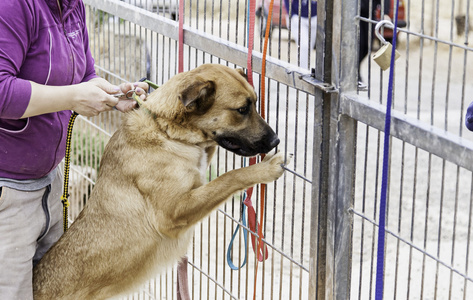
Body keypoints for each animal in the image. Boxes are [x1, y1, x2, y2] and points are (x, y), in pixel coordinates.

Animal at [32, 63, 288, 300]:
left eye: (255, 104)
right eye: (242, 109)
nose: (276, 140)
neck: (164, 128)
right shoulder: (174, 212)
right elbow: (228, 177)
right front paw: (265, 168)